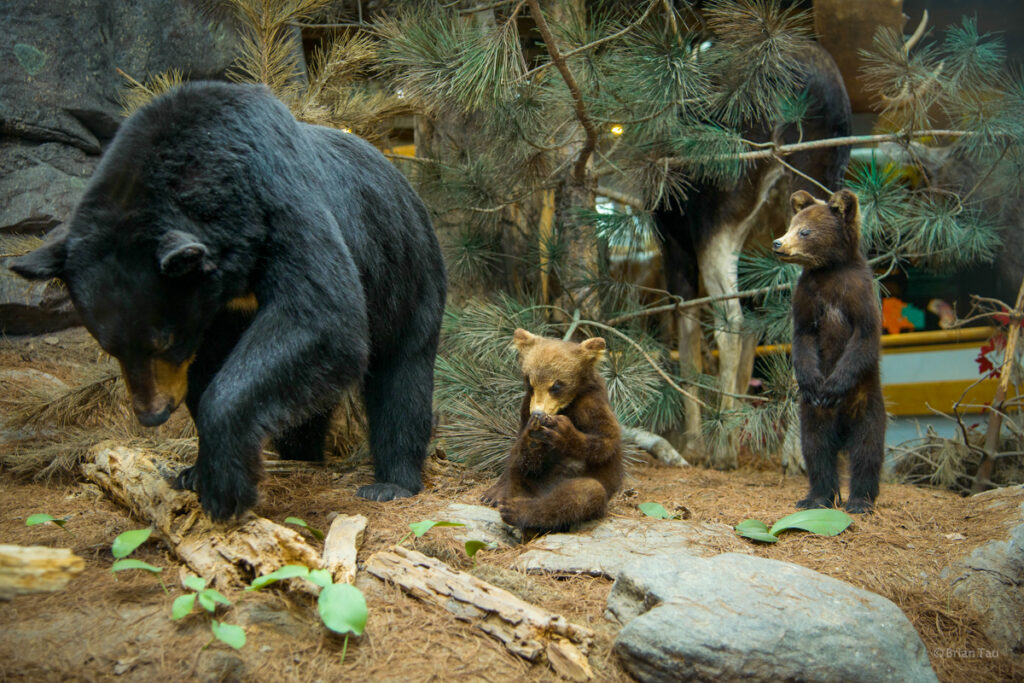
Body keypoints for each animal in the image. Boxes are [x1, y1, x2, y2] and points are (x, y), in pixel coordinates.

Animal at [7, 81, 447, 521]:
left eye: (163, 341)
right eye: (109, 346)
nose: (152, 413)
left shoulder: (280, 199)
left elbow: (321, 315)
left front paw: (224, 488)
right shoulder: (215, 317)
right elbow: (208, 373)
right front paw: (195, 472)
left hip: (406, 273)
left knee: (402, 377)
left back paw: (391, 482)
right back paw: (303, 455)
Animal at [481, 328, 623, 533]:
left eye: (556, 385)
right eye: (529, 382)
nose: (538, 413)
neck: (567, 406)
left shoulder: (591, 403)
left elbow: (606, 440)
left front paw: (562, 432)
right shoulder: (525, 409)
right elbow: (514, 450)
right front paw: (492, 493)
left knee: (583, 492)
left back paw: (516, 510)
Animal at [772, 188, 884, 513]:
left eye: (805, 231)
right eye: (792, 224)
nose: (778, 243)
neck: (829, 271)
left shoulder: (859, 294)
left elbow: (864, 337)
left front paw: (832, 385)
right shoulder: (807, 297)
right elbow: (803, 337)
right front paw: (813, 381)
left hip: (866, 401)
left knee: (867, 448)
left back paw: (859, 501)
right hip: (812, 412)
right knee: (816, 447)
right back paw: (816, 498)